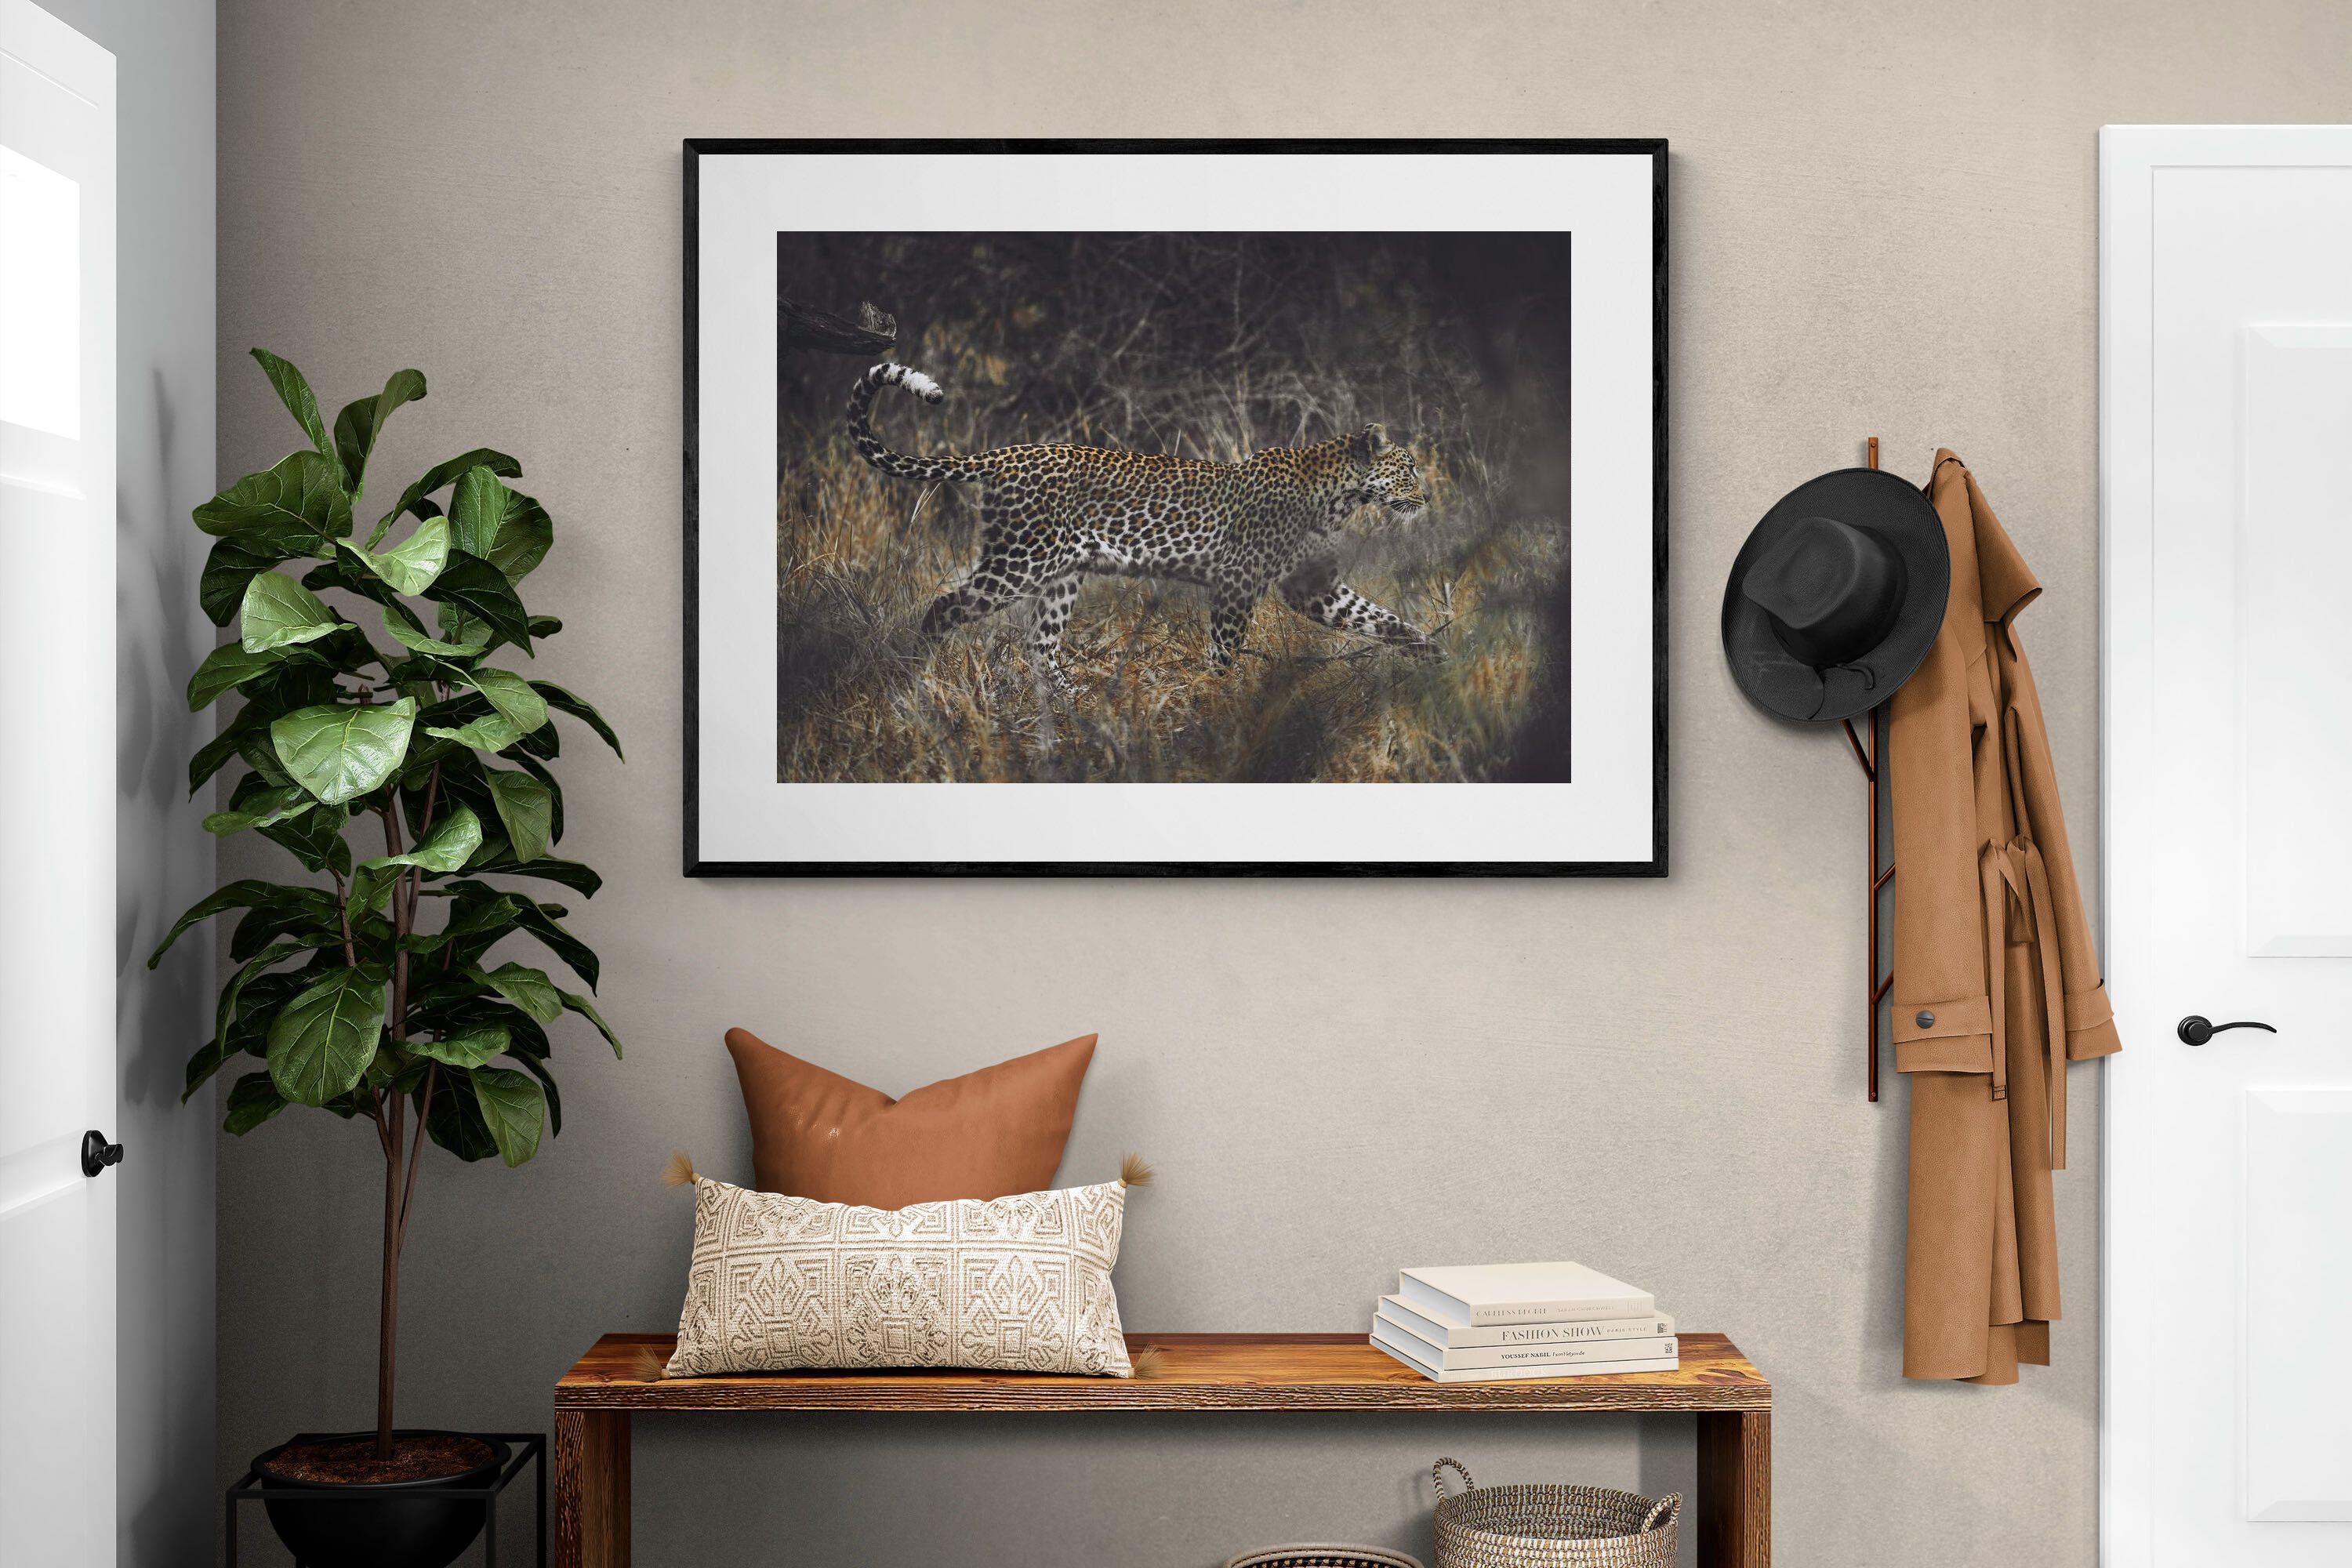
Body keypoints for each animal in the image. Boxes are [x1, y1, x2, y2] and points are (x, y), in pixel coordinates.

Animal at [844, 361, 1440, 692]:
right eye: (1408, 468)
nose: (1428, 496)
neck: (1339, 496)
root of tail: (1007, 453)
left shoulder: (1312, 587)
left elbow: (1379, 618)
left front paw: (1433, 653)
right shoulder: (1238, 581)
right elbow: (1224, 648)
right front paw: (1219, 700)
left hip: (1062, 574)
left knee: (1040, 645)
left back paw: (1074, 705)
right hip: (1019, 561)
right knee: (943, 609)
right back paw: (917, 678)